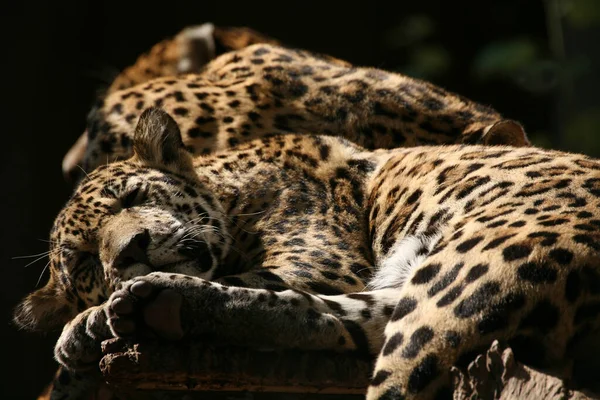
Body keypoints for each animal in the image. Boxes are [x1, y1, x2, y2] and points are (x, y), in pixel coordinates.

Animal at [16, 108, 600, 398]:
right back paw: (161, 306)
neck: (231, 186)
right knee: (328, 320)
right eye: (84, 260)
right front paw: (82, 334)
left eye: (133, 196)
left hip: (465, 280)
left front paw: (84, 326)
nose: (131, 249)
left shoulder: (321, 263)